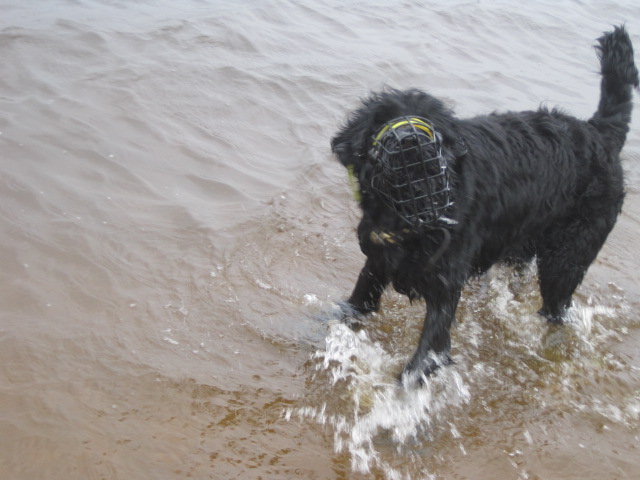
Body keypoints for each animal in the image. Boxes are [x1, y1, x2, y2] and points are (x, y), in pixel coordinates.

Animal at [331, 27, 638, 383]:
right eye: (383, 121)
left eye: (429, 123)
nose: (411, 141)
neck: (414, 213)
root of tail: (599, 132)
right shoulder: (378, 261)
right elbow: (357, 305)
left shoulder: (445, 286)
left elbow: (427, 354)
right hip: (522, 248)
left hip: (565, 260)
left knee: (557, 307)